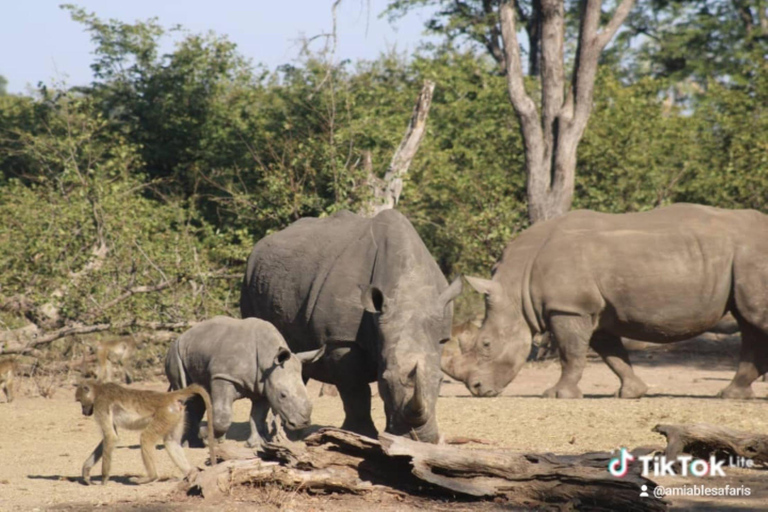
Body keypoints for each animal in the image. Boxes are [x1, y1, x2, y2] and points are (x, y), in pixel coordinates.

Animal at [165, 316, 324, 449]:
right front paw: (207, 435)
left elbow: (258, 416)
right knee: (188, 395)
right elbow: (224, 416)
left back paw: (196, 443)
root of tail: (181, 336)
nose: (302, 423)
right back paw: (190, 443)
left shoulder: (264, 386)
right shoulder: (223, 376)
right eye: (283, 395)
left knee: (198, 397)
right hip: (175, 353)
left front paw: (256, 444)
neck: (268, 358)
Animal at [240, 209, 462, 443]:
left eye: (441, 381)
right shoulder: (341, 339)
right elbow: (355, 390)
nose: (418, 438)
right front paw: (360, 435)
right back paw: (279, 437)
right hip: (249, 280)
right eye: (384, 381)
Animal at [444, 204, 768, 399]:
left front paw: (557, 395)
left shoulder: (569, 308)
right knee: (749, 324)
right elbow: (613, 355)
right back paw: (732, 395)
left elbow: (571, 354)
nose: (477, 389)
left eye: (486, 345)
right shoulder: (593, 311)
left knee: (754, 320)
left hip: (752, 255)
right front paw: (632, 393)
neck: (516, 287)